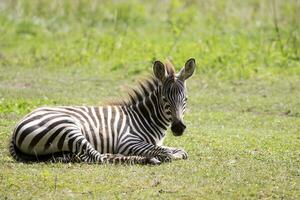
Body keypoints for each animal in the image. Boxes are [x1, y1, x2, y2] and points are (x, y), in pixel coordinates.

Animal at [8, 57, 196, 164]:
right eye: (165, 100)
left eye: (185, 99)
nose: (179, 128)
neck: (143, 118)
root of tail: (17, 126)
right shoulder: (128, 141)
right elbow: (168, 153)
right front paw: (164, 155)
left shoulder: (156, 143)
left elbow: (178, 150)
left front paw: (177, 151)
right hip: (67, 127)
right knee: (98, 157)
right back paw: (146, 159)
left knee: (85, 156)